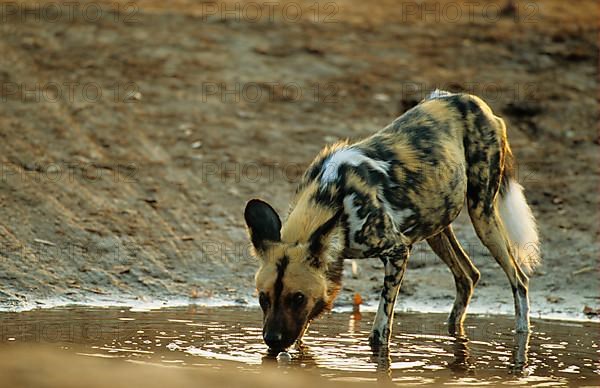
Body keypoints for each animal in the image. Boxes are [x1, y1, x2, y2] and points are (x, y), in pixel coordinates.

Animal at [243, 91, 540, 352]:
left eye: (297, 298)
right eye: (262, 298)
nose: (272, 340)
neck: (331, 198)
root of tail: (473, 101)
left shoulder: (398, 251)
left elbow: (380, 330)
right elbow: (303, 329)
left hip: (482, 215)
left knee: (519, 279)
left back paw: (521, 338)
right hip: (436, 226)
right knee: (468, 276)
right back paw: (454, 333)